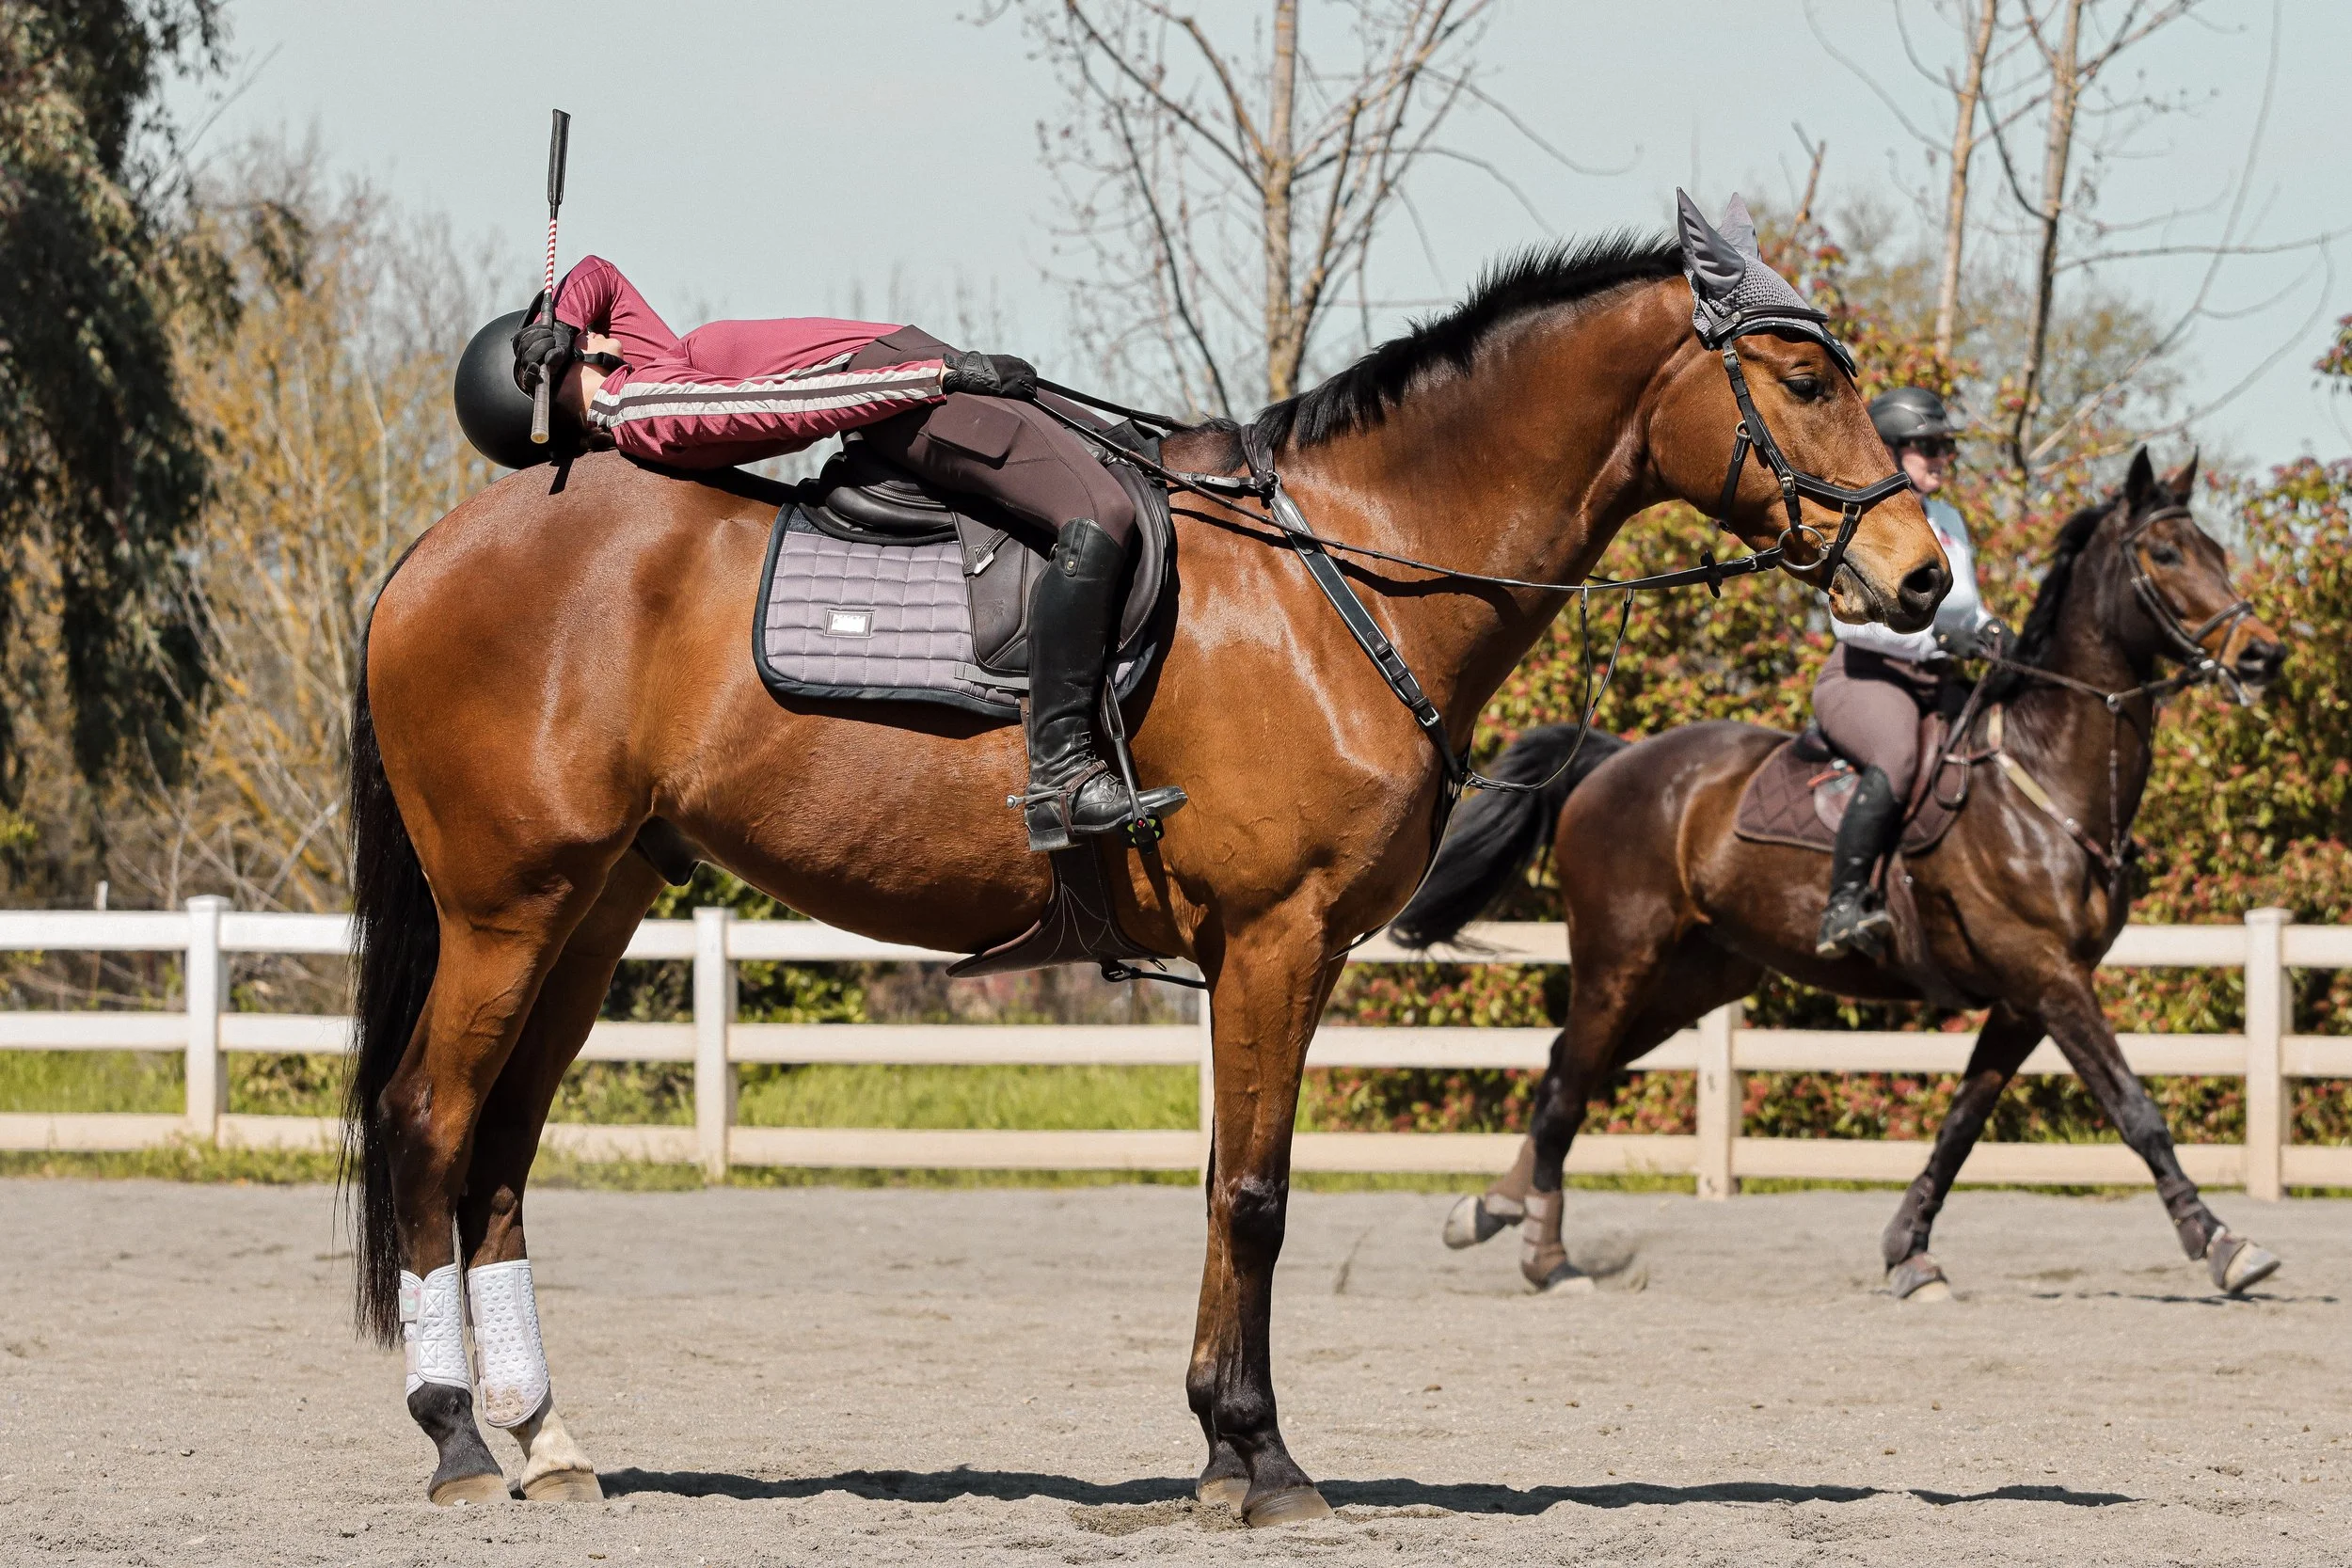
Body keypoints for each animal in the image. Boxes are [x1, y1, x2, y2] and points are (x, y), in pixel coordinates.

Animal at [341, 231, 1948, 1522]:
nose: (1924, 576)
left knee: (500, 1150)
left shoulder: (1273, 955)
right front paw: (1265, 1459)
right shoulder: (1277, 939)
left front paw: (1221, 1451)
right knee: (430, 1120)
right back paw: (457, 1436)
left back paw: (548, 1438)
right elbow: (1257, 1193)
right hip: (508, 907)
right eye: (1805, 377)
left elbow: (1228, 1188)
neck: (1345, 570)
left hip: (595, 910)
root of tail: (435, 548)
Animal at [1394, 450, 2289, 1303]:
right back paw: (1544, 1254)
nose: (2262, 654)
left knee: (1565, 1068)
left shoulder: (2024, 996)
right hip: (1621, 958)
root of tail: (1614, 760)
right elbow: (2137, 1111)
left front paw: (1909, 1253)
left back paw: (1490, 1209)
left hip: (1695, 977)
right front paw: (2224, 1244)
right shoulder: (2047, 974)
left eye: (2216, 550)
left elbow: (1961, 1125)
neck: (2041, 776)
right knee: (1571, 1079)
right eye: (2167, 552)